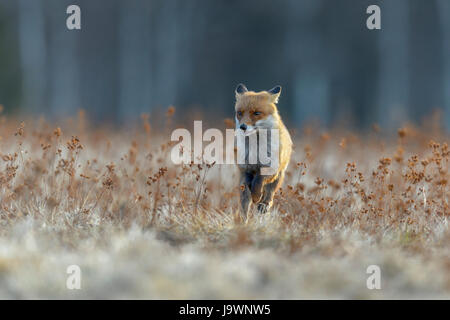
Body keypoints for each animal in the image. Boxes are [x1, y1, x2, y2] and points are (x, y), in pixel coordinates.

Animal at [234, 82, 294, 219]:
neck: (256, 150)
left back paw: (263, 206)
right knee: (244, 203)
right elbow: (248, 188)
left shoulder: (271, 168)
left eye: (257, 113)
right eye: (240, 113)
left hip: (278, 177)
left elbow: (258, 182)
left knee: (268, 197)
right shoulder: (245, 169)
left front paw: (257, 196)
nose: (243, 127)